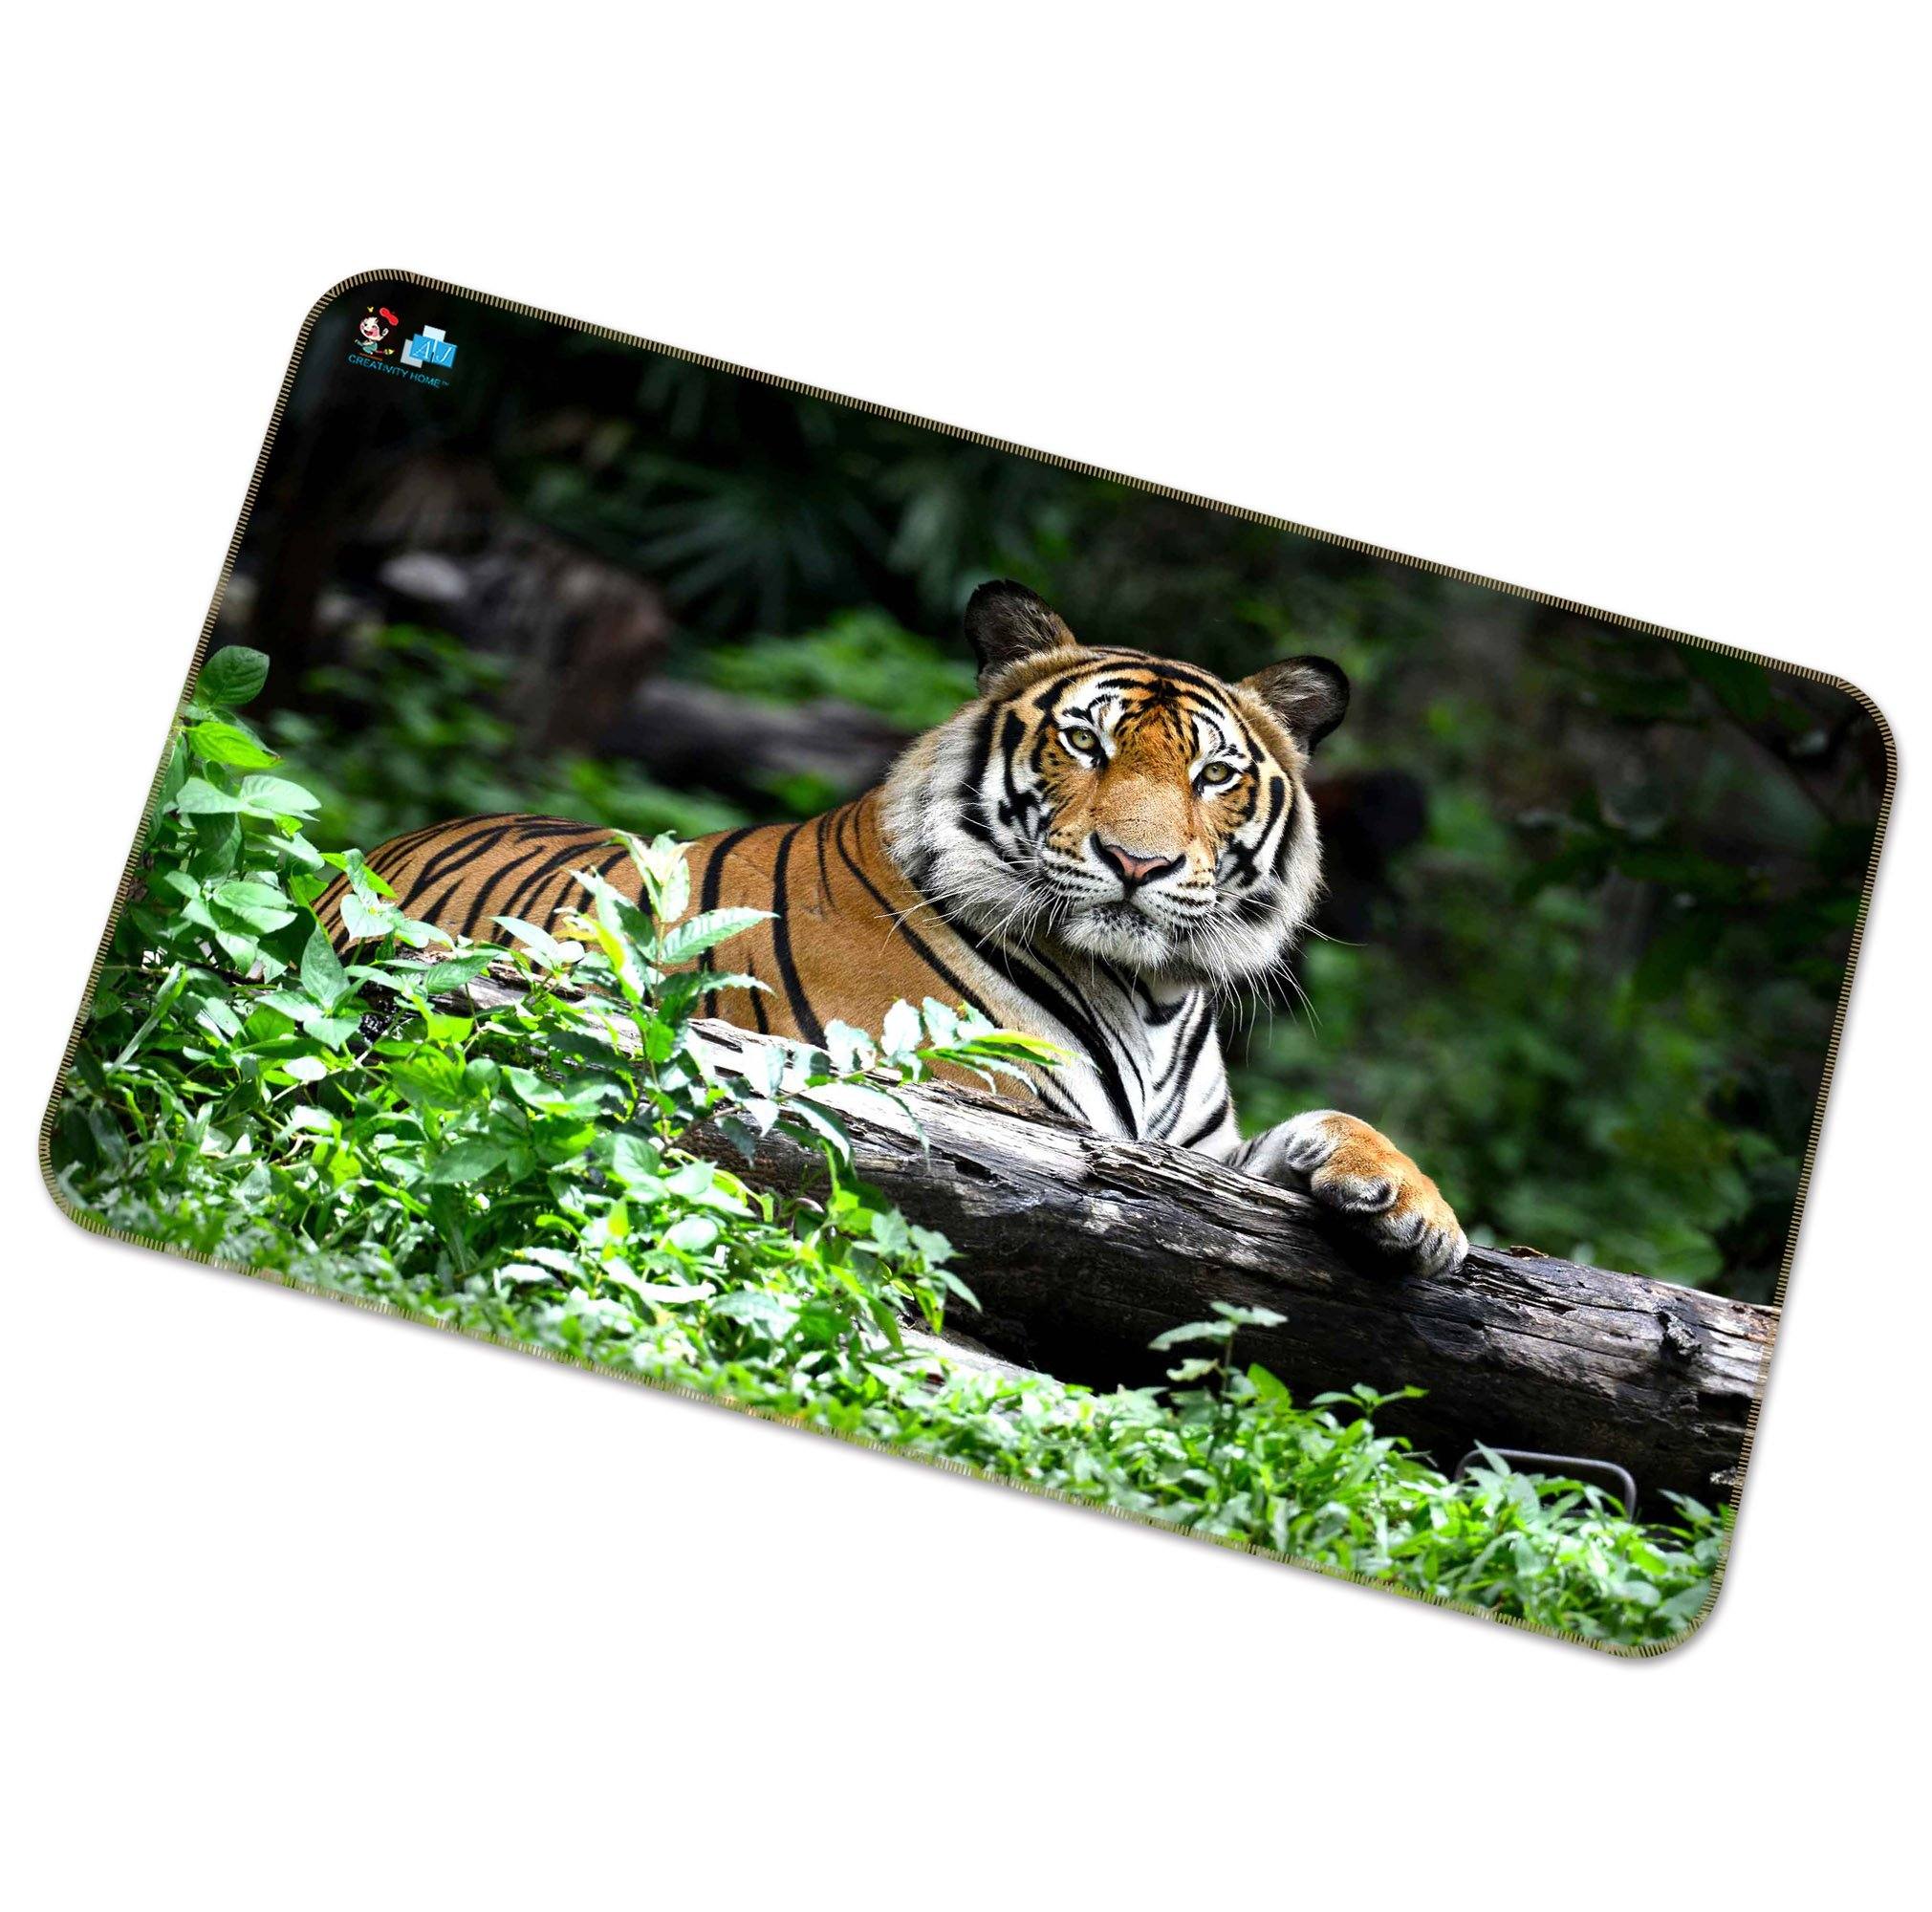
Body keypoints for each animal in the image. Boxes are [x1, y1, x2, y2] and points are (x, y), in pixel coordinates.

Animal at [322, 580, 1468, 1275]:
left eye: (1214, 775)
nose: (1136, 863)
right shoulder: (991, 1111)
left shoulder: (1197, 1159)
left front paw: (1416, 1210)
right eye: (1084, 744)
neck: (1149, 995)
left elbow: (1326, 1125)